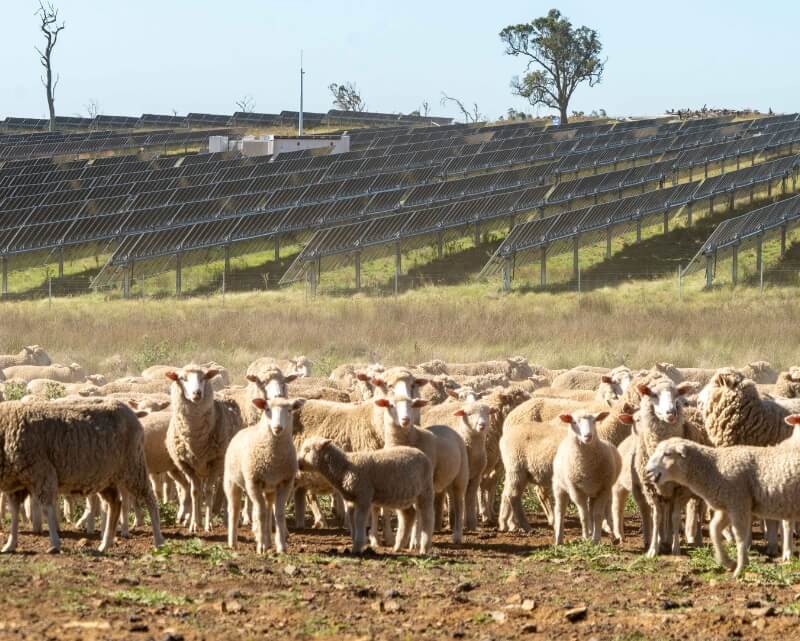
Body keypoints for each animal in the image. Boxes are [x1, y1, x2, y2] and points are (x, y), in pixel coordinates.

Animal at [0, 398, 162, 552]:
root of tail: (131, 413)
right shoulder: (16, 485)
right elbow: (14, 514)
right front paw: (10, 545)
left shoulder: (42, 472)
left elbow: (47, 509)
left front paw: (55, 544)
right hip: (106, 478)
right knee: (115, 504)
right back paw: (105, 545)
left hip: (134, 465)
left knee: (150, 499)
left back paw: (159, 541)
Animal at [296, 436, 434, 556]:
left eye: (307, 450)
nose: (297, 463)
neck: (344, 467)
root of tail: (422, 454)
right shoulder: (351, 501)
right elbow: (352, 521)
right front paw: (354, 543)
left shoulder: (363, 496)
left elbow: (359, 520)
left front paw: (358, 546)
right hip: (402, 495)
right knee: (408, 515)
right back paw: (398, 547)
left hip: (425, 491)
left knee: (427, 518)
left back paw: (424, 548)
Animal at [376, 392, 468, 544]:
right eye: (391, 405)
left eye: (412, 405)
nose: (406, 419)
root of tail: (449, 428)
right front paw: (405, 537)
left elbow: (417, 510)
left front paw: (414, 540)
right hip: (448, 477)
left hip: (460, 477)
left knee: (459, 504)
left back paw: (457, 536)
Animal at [422, 400, 490, 528]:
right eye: (469, 414)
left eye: (488, 413)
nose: (482, 425)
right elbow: (457, 497)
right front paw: (459, 522)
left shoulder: (476, 476)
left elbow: (470, 497)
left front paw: (472, 524)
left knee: (440, 495)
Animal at [640, 432, 800, 576]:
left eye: (667, 454)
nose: (646, 472)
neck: (714, 469)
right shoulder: (727, 507)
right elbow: (714, 530)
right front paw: (728, 562)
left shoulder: (738, 502)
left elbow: (740, 536)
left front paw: (740, 568)